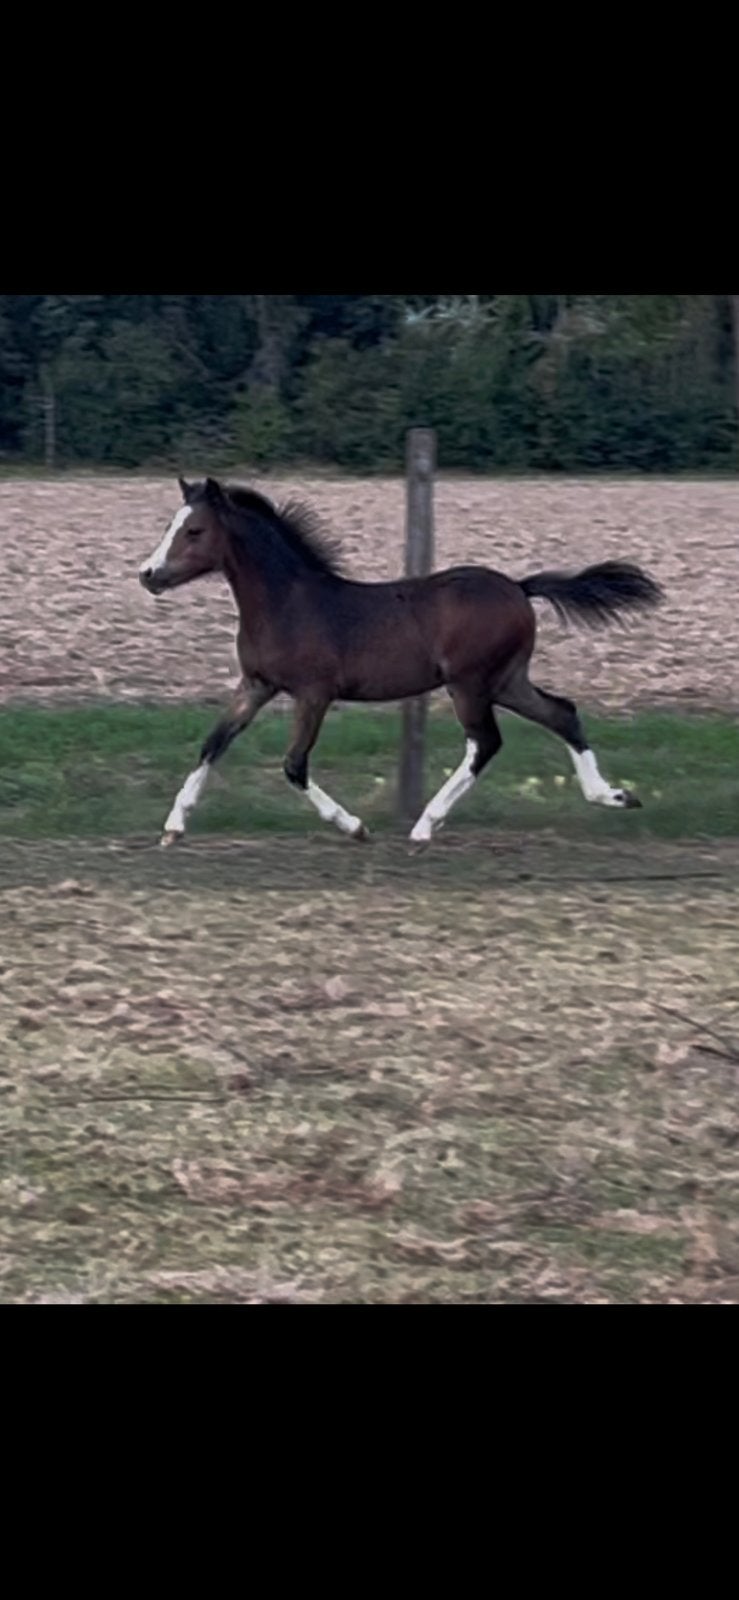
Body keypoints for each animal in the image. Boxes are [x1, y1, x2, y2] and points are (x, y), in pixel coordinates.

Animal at [138, 477, 663, 847]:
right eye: (168, 526)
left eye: (194, 530)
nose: (148, 574)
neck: (286, 603)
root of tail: (518, 586)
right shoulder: (256, 685)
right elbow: (213, 742)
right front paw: (172, 826)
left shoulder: (314, 693)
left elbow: (294, 764)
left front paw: (355, 827)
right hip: (507, 680)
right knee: (561, 713)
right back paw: (613, 795)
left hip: (470, 683)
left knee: (486, 742)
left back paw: (425, 825)